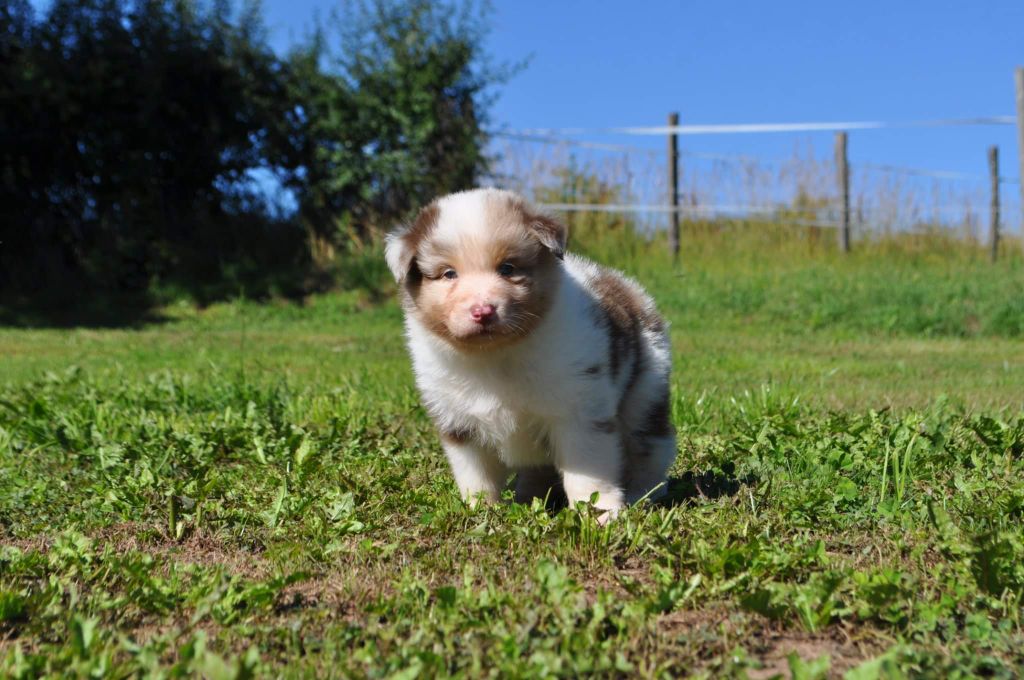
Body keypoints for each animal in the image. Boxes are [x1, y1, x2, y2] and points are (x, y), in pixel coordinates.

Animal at [382, 188, 671, 518]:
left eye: (507, 268)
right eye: (449, 274)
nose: (483, 311)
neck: (495, 355)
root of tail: (627, 286)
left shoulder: (578, 411)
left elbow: (587, 471)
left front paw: (599, 512)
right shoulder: (458, 422)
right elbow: (476, 475)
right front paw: (480, 511)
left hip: (646, 392)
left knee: (650, 447)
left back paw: (643, 494)